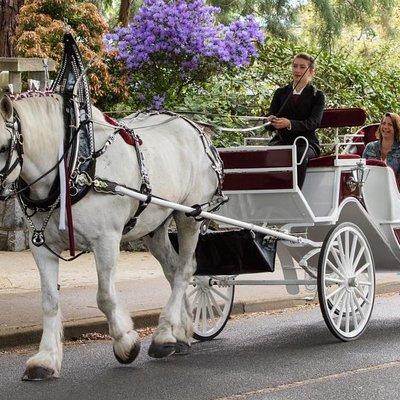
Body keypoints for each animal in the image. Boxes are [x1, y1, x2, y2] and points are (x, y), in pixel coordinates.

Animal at [0, 94, 219, 382]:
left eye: (4, 146)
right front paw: (46, 359)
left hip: (190, 216)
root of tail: (196, 128)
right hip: (154, 226)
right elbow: (49, 301)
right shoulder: (42, 247)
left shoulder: (106, 240)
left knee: (185, 270)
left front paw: (125, 342)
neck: (74, 165)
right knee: (173, 271)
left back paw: (162, 336)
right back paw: (179, 334)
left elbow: (104, 296)